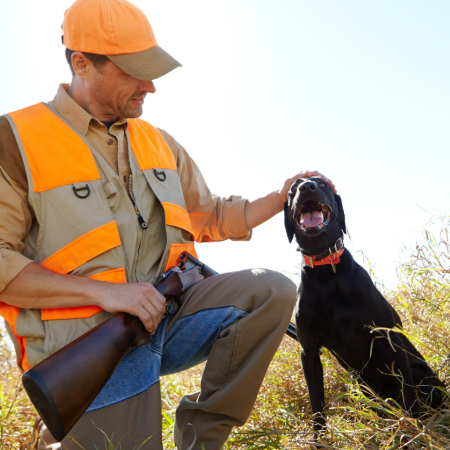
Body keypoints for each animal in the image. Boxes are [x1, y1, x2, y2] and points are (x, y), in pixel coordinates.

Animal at [284, 177, 442, 436]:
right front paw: (320, 441)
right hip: (361, 387)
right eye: (293, 189)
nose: (307, 187)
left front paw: (412, 431)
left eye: (322, 183)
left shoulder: (390, 335)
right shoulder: (309, 352)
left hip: (423, 376)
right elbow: (317, 410)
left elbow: (407, 392)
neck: (326, 271)